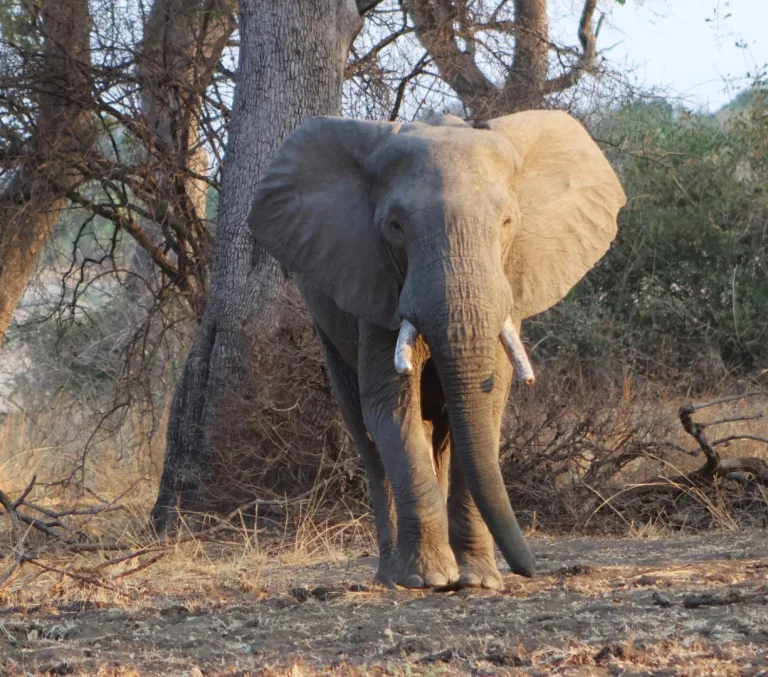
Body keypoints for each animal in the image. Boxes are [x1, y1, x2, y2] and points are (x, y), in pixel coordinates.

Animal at [246, 110, 626, 589]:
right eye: (395, 226)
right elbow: (390, 409)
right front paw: (428, 580)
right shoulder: (375, 287)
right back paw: (390, 574)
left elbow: (488, 407)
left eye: (507, 223)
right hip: (326, 323)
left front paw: (479, 582)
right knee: (366, 434)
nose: (531, 569)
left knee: (442, 434)